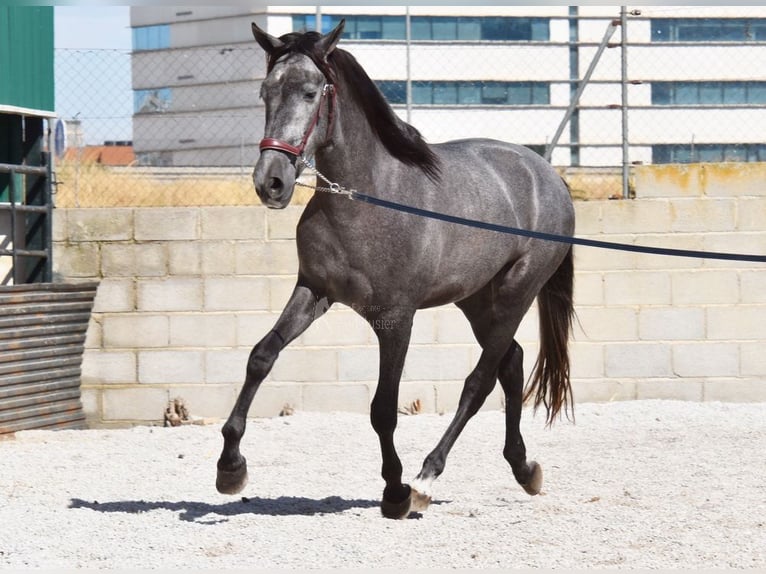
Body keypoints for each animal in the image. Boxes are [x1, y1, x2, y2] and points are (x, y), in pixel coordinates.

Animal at [216, 20, 576, 520]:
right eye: (265, 92)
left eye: (310, 92)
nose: (270, 182)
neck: (367, 197)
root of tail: (548, 174)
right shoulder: (313, 291)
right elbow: (260, 358)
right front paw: (230, 467)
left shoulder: (395, 320)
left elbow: (383, 408)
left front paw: (395, 490)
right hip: (476, 299)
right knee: (512, 363)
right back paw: (524, 468)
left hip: (516, 293)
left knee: (480, 381)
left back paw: (426, 478)